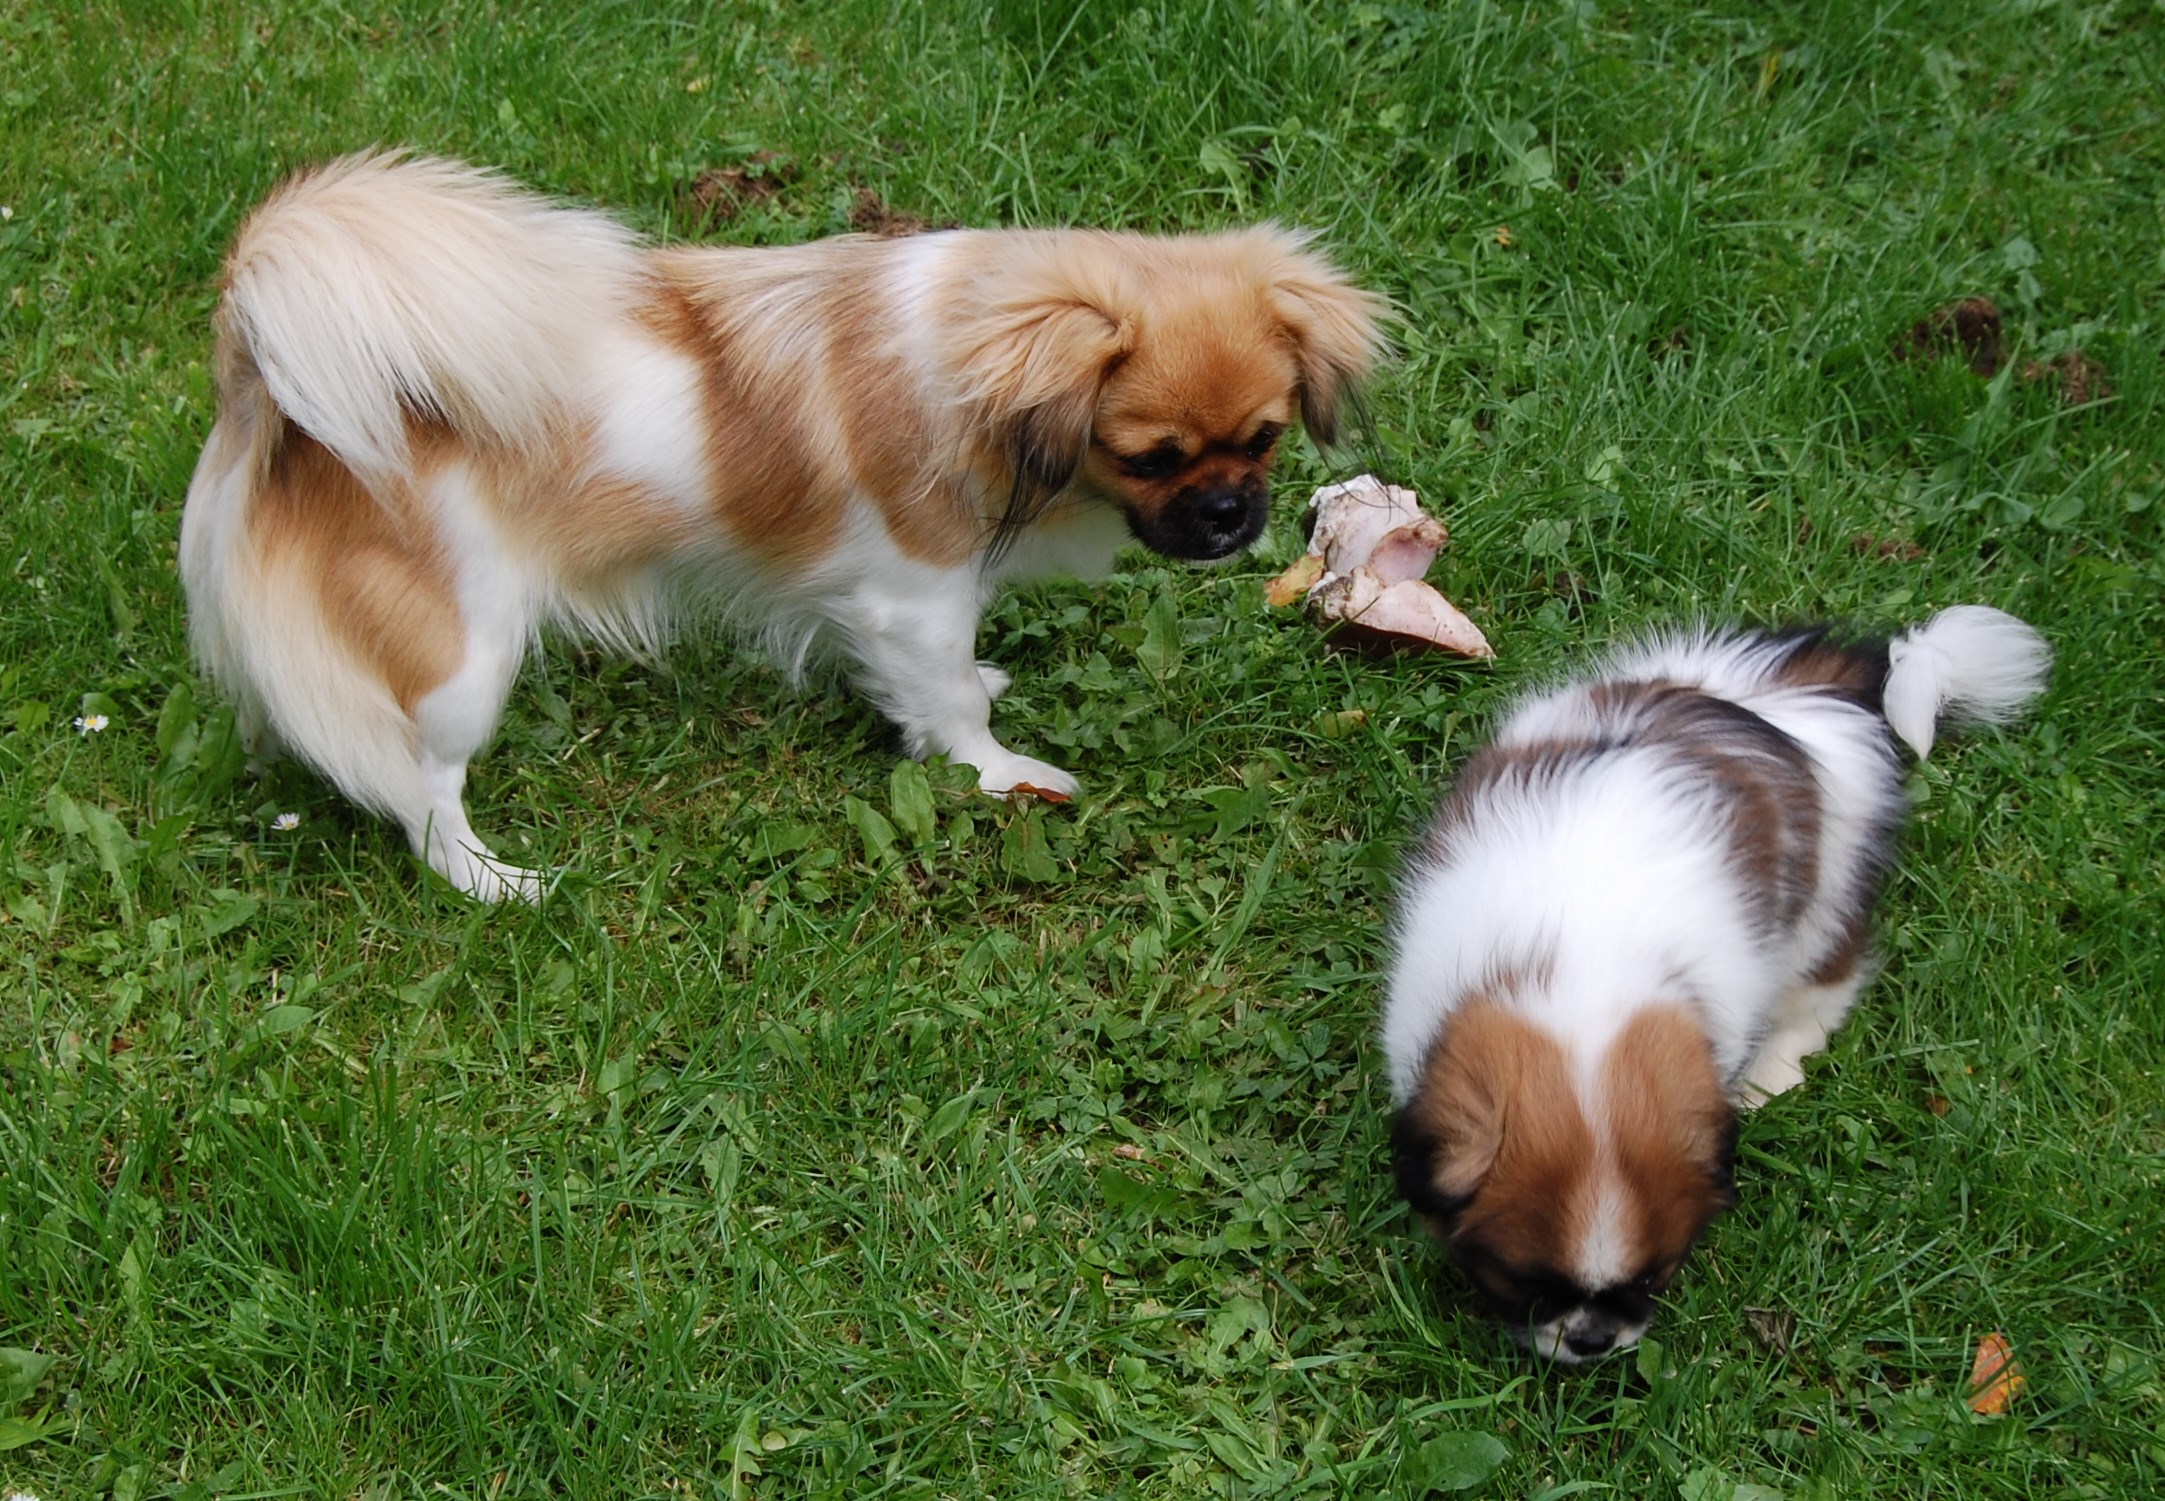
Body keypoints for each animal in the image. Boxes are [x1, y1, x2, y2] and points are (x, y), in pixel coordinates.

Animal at [179, 151, 1383, 899]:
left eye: (1264, 439)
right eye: (1151, 457)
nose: (1229, 514)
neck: (974, 376)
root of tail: (271, 383)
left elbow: (943, 678)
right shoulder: (915, 595)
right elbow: (949, 702)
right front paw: (1001, 773)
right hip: (462, 659)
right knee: (421, 795)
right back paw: (500, 884)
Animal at [1382, 606, 2050, 1361]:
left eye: (1654, 1278)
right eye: (1527, 1285)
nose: (1592, 1339)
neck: (1573, 986)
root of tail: (1806, 687)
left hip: (1825, 904)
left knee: (1823, 990)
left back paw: (1772, 1072)